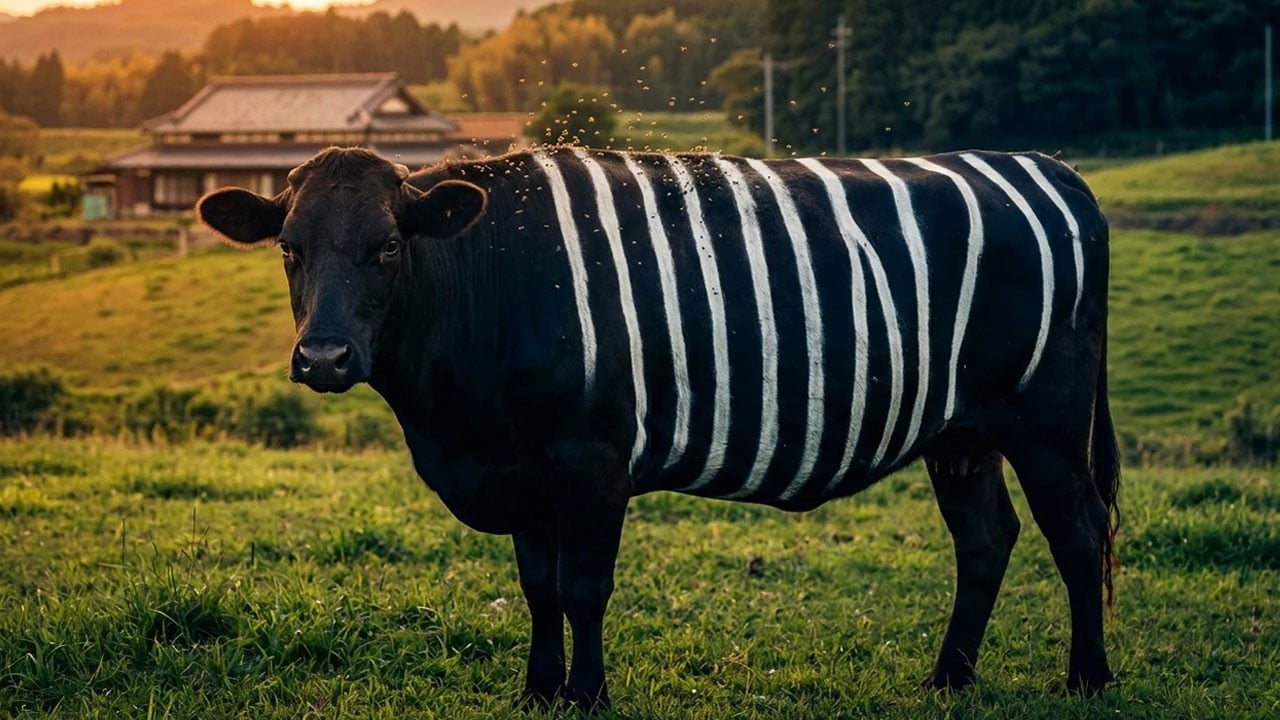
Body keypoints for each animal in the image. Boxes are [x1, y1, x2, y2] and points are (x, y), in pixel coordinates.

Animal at [197, 144, 1119, 710]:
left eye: (387, 248)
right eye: (289, 249)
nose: (323, 357)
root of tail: (1040, 163)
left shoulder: (592, 461)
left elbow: (583, 587)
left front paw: (588, 696)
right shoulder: (519, 472)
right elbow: (537, 588)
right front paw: (538, 693)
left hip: (1047, 422)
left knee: (1076, 536)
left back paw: (1088, 678)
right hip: (960, 434)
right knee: (986, 540)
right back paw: (948, 679)